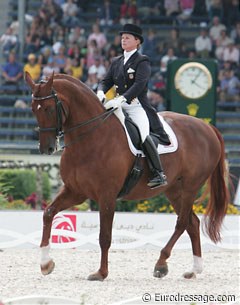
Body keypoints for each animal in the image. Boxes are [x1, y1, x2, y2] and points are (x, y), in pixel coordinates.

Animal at [25, 72, 230, 280]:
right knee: (192, 223)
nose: (46, 148)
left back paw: (161, 264)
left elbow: (105, 237)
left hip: (190, 187)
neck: (91, 138)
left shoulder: (107, 195)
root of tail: (207, 127)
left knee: (181, 223)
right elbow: (48, 213)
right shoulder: (75, 191)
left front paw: (101, 273)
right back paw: (193, 269)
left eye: (49, 109)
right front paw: (45, 263)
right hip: (173, 190)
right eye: (33, 109)